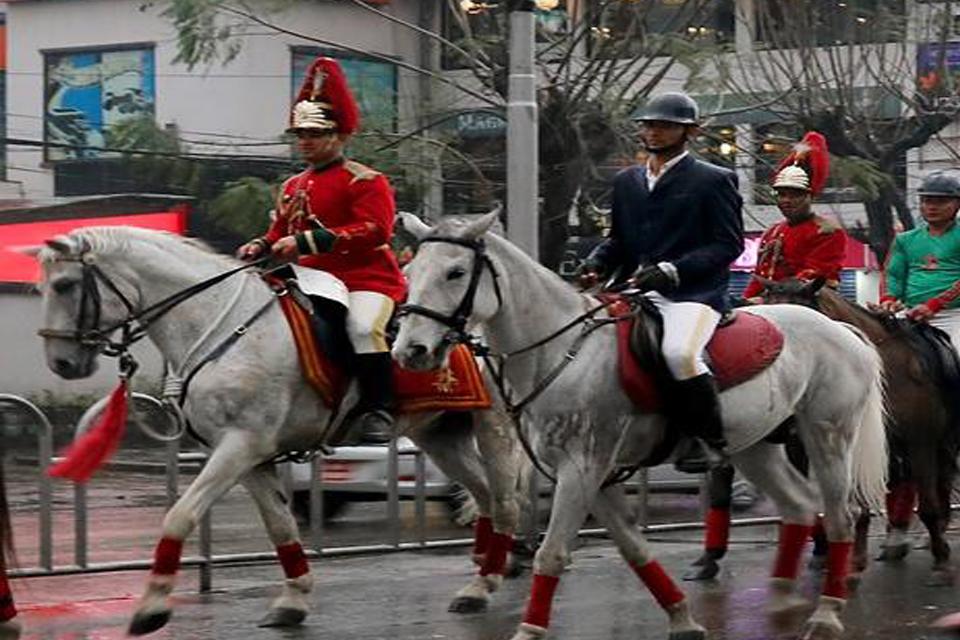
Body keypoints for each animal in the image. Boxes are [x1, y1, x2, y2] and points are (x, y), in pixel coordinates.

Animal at [37, 226, 528, 636]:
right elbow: (280, 525)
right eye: (44, 287)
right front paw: (293, 600)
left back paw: (489, 577)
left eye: (64, 285)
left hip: (494, 429)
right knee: (484, 495)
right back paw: (489, 567)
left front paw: (152, 607)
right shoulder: (250, 456)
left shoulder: (240, 445)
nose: (61, 363)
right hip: (441, 435)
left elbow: (180, 515)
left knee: (505, 500)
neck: (217, 322)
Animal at [394, 211, 888, 640]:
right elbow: (635, 549)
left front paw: (529, 629)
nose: (410, 351)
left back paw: (826, 613)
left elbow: (551, 554)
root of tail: (842, 329)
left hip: (827, 437)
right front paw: (683, 619)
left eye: (456, 272)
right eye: (412, 269)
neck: (561, 353)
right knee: (800, 506)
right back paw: (782, 599)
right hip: (754, 446)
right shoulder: (596, 475)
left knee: (841, 518)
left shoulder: (581, 468)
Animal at [756, 280, 960, 584]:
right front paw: (854, 563)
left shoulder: (920, 442)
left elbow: (928, 506)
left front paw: (942, 563)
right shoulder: (859, 446)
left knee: (941, 484)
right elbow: (859, 508)